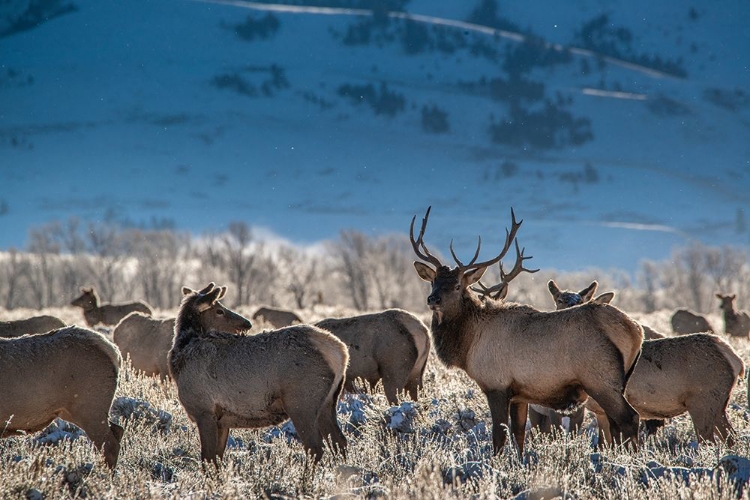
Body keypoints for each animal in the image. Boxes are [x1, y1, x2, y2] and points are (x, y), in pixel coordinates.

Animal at [169, 284, 348, 462]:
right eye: (219, 310)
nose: (247, 323)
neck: (179, 359)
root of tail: (341, 352)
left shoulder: (204, 411)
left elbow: (207, 458)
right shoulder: (221, 420)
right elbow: (218, 458)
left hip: (301, 402)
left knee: (315, 447)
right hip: (328, 401)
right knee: (339, 441)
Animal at [412, 205, 648, 456]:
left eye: (457, 286)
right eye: (433, 282)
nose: (433, 299)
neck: (468, 345)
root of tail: (636, 331)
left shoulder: (496, 384)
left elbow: (499, 436)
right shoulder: (519, 394)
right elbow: (519, 434)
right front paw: (520, 460)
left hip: (601, 379)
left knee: (629, 418)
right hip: (617, 382)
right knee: (616, 424)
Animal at [548, 284, 748, 444]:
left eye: (582, 300)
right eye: (559, 300)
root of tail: (736, 360)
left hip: (703, 400)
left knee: (709, 440)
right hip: (719, 404)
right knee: (731, 438)